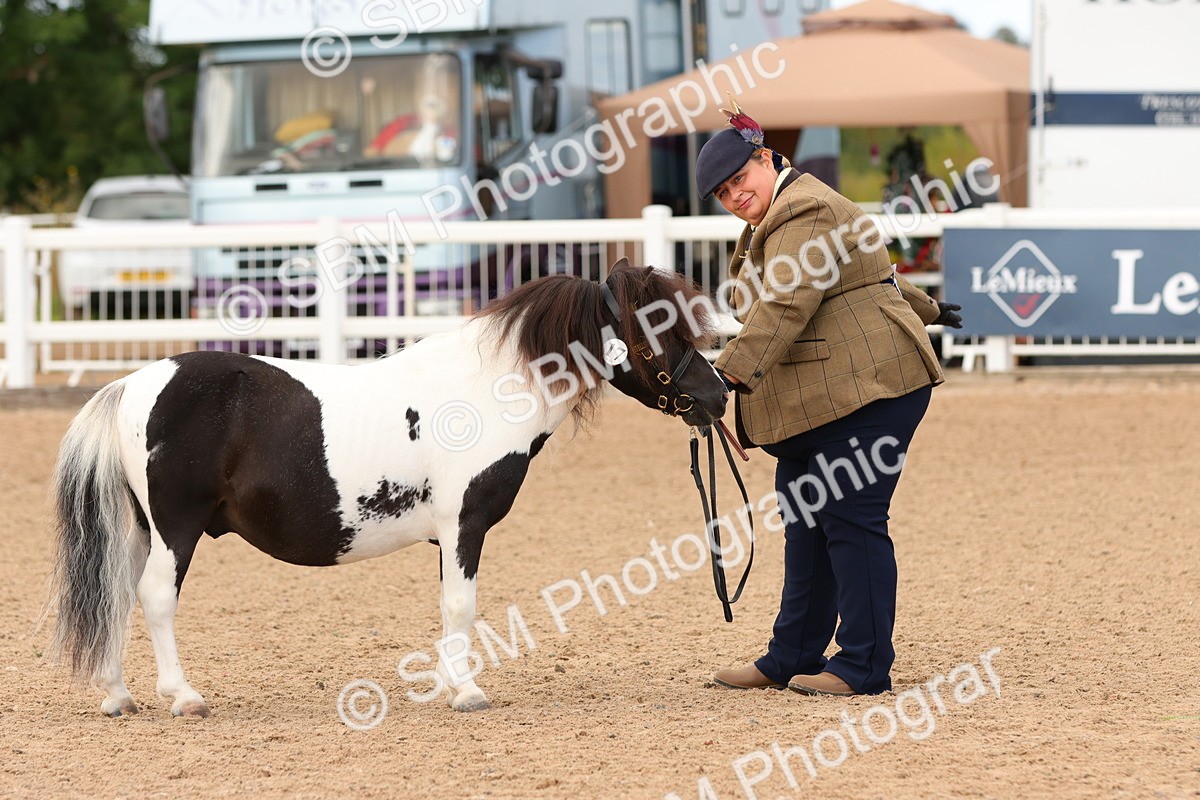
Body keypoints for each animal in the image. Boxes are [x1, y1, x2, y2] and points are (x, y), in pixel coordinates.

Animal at [45, 262, 728, 718]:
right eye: (659, 326)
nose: (719, 395)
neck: (485, 393)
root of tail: (132, 384)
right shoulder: (464, 525)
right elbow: (461, 605)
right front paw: (467, 692)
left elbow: (450, 606)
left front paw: (453, 685)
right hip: (175, 528)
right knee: (155, 597)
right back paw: (183, 696)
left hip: (142, 528)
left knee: (115, 594)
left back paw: (118, 695)